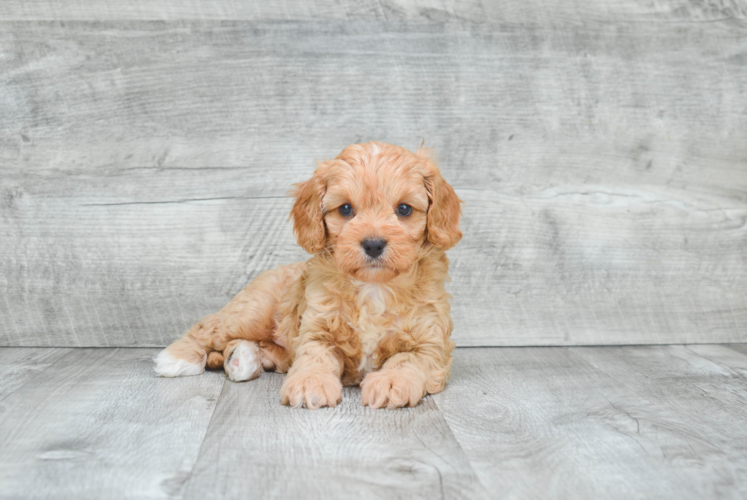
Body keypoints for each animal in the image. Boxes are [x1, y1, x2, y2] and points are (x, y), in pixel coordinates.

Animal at [155, 143, 462, 408]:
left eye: (404, 209)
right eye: (346, 209)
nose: (373, 244)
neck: (373, 286)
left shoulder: (429, 343)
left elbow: (407, 361)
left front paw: (390, 381)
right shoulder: (317, 330)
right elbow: (314, 357)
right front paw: (310, 383)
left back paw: (242, 360)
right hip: (251, 313)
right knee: (207, 328)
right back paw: (176, 358)